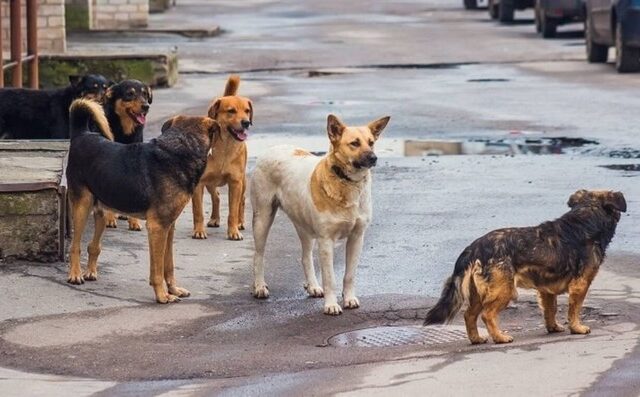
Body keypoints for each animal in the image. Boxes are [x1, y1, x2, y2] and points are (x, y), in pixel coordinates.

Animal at [66, 99, 219, 304]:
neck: (181, 147)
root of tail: (82, 134)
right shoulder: (157, 227)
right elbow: (157, 270)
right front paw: (162, 295)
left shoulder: (169, 227)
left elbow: (168, 265)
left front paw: (174, 289)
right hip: (82, 206)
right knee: (75, 246)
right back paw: (75, 275)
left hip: (101, 212)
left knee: (93, 245)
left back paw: (90, 272)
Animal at [101, 79, 154, 230]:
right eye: (130, 94)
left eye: (145, 94)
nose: (146, 106)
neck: (125, 132)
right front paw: (109, 218)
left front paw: (134, 222)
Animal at [250, 113, 390, 314]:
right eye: (354, 143)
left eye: (371, 142)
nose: (374, 158)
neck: (346, 182)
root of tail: (273, 148)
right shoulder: (326, 241)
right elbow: (330, 278)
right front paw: (331, 305)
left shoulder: (357, 238)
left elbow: (349, 275)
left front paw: (349, 299)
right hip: (262, 218)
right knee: (258, 255)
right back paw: (260, 286)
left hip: (304, 227)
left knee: (305, 257)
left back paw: (313, 286)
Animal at [422, 190, 628, 342]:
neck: (586, 217)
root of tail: (474, 248)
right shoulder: (581, 284)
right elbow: (574, 309)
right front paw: (577, 327)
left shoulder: (546, 290)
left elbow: (550, 310)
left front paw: (553, 327)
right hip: (504, 290)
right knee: (487, 315)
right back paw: (500, 337)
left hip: (479, 293)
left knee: (469, 315)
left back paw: (477, 339)